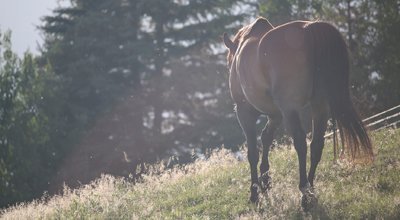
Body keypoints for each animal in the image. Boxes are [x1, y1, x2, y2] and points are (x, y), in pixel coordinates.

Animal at [223, 17, 374, 208]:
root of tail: (309, 29)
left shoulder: (245, 112)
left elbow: (252, 152)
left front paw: (255, 192)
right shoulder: (276, 115)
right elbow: (266, 138)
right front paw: (266, 181)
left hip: (291, 109)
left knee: (301, 143)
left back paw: (304, 191)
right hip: (319, 106)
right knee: (316, 144)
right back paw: (310, 190)